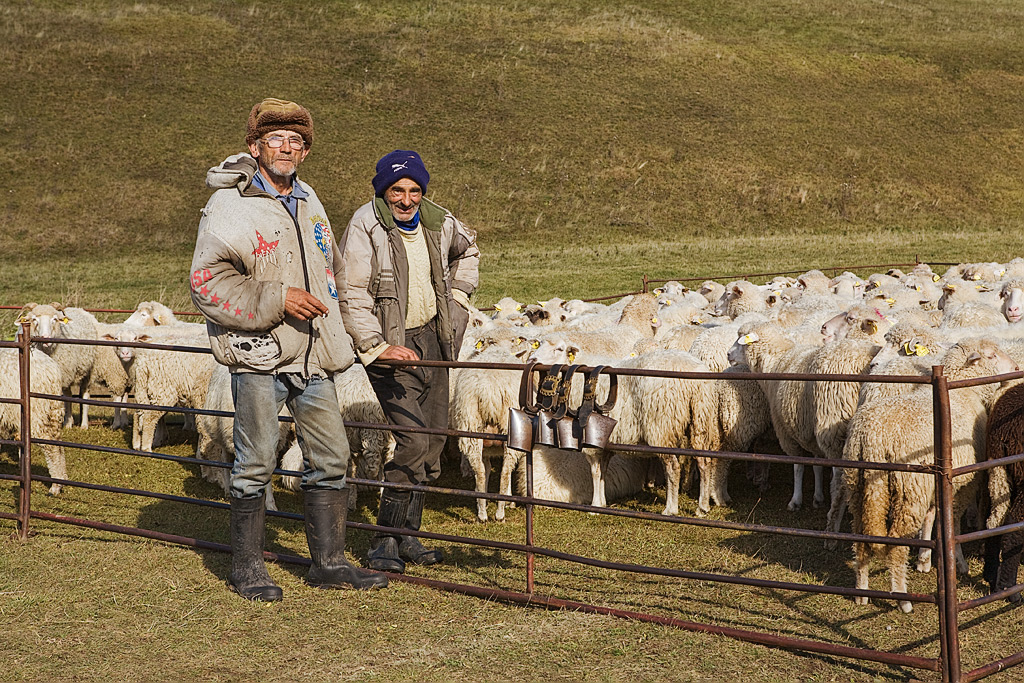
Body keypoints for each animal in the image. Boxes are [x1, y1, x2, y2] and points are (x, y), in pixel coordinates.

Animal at [0, 349, 68, 495]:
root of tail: (53, 371)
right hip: (53, 411)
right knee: (58, 444)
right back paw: (61, 479)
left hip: (36, 412)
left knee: (50, 446)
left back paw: (55, 486)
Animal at [845, 338, 1018, 612]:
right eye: (991, 355)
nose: (1016, 367)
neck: (963, 390)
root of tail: (872, 437)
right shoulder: (962, 482)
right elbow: (953, 521)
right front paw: (958, 563)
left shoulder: (932, 482)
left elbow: (931, 516)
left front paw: (925, 560)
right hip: (907, 491)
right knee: (896, 546)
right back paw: (902, 598)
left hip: (859, 487)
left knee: (861, 540)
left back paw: (861, 591)